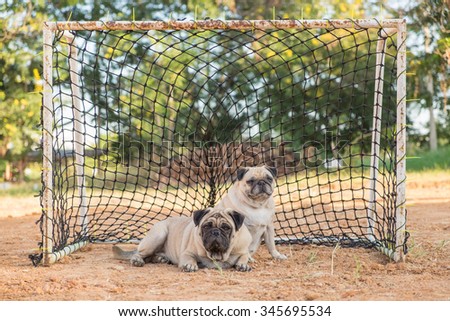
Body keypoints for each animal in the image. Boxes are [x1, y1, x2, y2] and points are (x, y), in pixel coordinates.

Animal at [112, 208, 253, 270]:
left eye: (226, 227)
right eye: (206, 226)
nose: (215, 231)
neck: (217, 254)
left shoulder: (243, 250)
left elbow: (244, 257)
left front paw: (243, 265)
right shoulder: (187, 253)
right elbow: (190, 258)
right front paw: (190, 265)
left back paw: (160, 258)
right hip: (159, 234)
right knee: (138, 253)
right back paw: (138, 260)